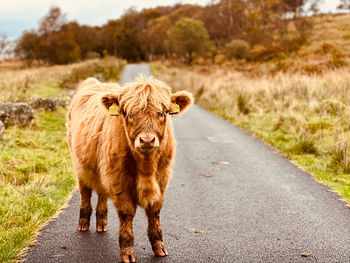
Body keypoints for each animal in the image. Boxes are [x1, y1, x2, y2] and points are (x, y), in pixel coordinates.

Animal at [67, 76, 193, 262]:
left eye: (162, 113)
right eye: (129, 113)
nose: (147, 140)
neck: (146, 168)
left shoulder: (161, 179)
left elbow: (154, 211)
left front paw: (159, 246)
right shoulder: (119, 180)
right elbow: (126, 213)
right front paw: (127, 251)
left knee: (102, 193)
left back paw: (102, 223)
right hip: (81, 165)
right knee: (85, 192)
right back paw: (83, 223)